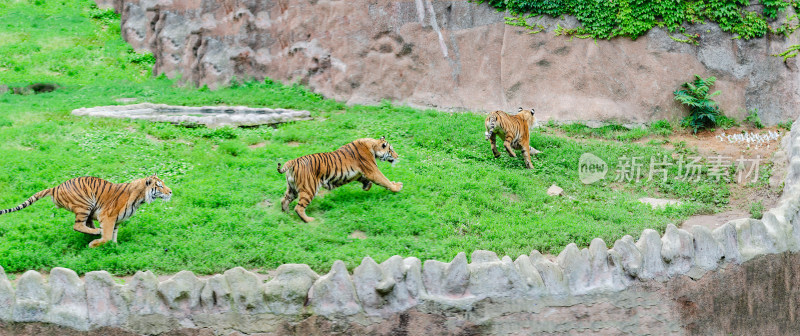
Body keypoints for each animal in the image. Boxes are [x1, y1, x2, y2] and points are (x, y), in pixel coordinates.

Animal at [0, 175, 172, 248]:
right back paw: (95, 232)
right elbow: (107, 236)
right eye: (160, 185)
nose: (170, 192)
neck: (141, 198)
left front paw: (115, 247)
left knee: (84, 225)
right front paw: (95, 244)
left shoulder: (116, 221)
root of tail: (56, 187)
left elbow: (113, 236)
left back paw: (93, 231)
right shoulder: (108, 217)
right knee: (77, 225)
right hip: (85, 204)